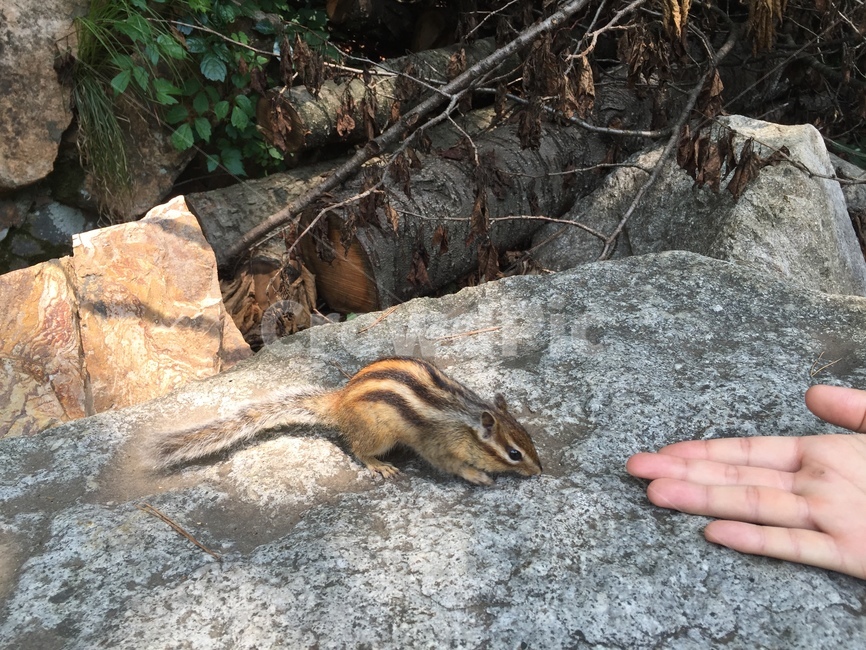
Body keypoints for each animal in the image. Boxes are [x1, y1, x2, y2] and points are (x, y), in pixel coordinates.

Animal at [151, 357, 542, 485]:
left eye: (529, 439)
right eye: (514, 454)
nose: (540, 471)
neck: (466, 419)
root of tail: (339, 402)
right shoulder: (438, 445)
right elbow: (450, 465)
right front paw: (478, 475)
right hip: (378, 434)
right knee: (355, 448)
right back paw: (379, 465)